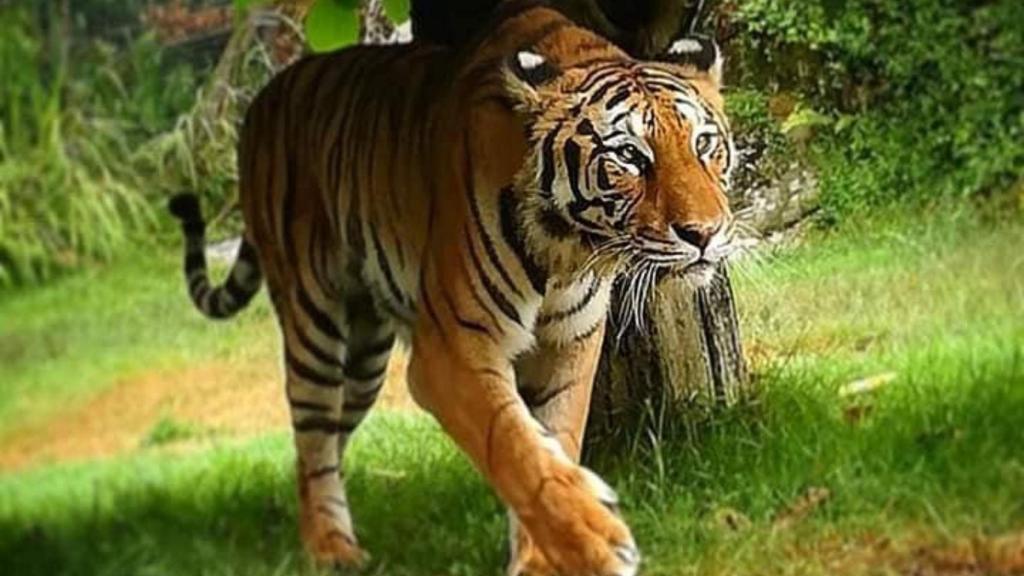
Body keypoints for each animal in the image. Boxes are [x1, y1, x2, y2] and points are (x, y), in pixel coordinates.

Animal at [168, 1, 736, 574]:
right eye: (629, 157)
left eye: (704, 144)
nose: (705, 233)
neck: (567, 250)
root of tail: (262, 99)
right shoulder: (453, 352)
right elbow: (514, 446)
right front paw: (594, 538)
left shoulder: (569, 344)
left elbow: (554, 438)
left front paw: (543, 558)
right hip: (315, 327)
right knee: (313, 444)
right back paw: (331, 549)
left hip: (364, 361)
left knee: (324, 442)